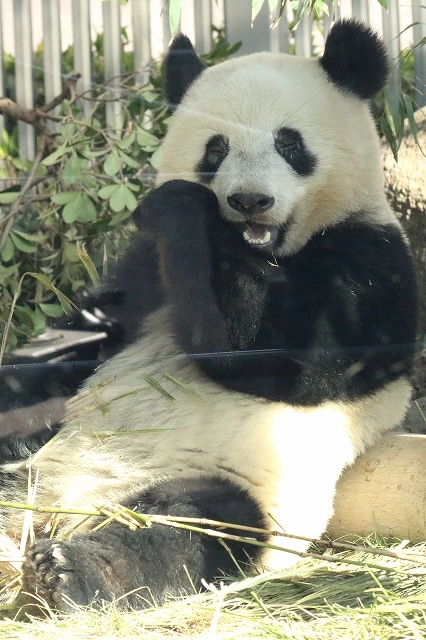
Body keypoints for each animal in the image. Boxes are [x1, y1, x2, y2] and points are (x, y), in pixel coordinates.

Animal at [0, 18, 420, 608]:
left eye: (289, 144)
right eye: (215, 149)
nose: (249, 201)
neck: (264, 251)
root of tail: (61, 506)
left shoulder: (372, 257)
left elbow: (293, 360)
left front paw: (184, 207)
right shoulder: (146, 270)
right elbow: (83, 342)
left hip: (232, 483)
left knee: (186, 527)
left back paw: (68, 571)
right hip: (40, 449)